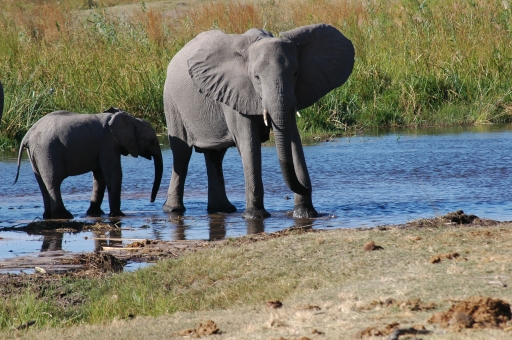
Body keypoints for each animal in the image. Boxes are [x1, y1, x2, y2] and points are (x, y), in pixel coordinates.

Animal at [15, 109, 162, 220]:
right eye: (151, 141)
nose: (151, 201)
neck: (132, 119)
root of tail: (27, 136)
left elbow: (100, 177)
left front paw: (95, 213)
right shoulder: (108, 143)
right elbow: (113, 174)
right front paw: (118, 215)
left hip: (36, 154)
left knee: (41, 183)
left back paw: (48, 216)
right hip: (47, 151)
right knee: (53, 182)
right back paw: (65, 216)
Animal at [162, 23, 354, 218]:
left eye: (296, 73)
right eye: (256, 78)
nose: (307, 186)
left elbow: (293, 137)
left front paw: (304, 213)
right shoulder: (232, 93)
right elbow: (249, 143)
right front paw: (255, 215)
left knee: (215, 156)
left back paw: (222, 210)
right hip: (171, 102)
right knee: (182, 154)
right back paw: (173, 210)